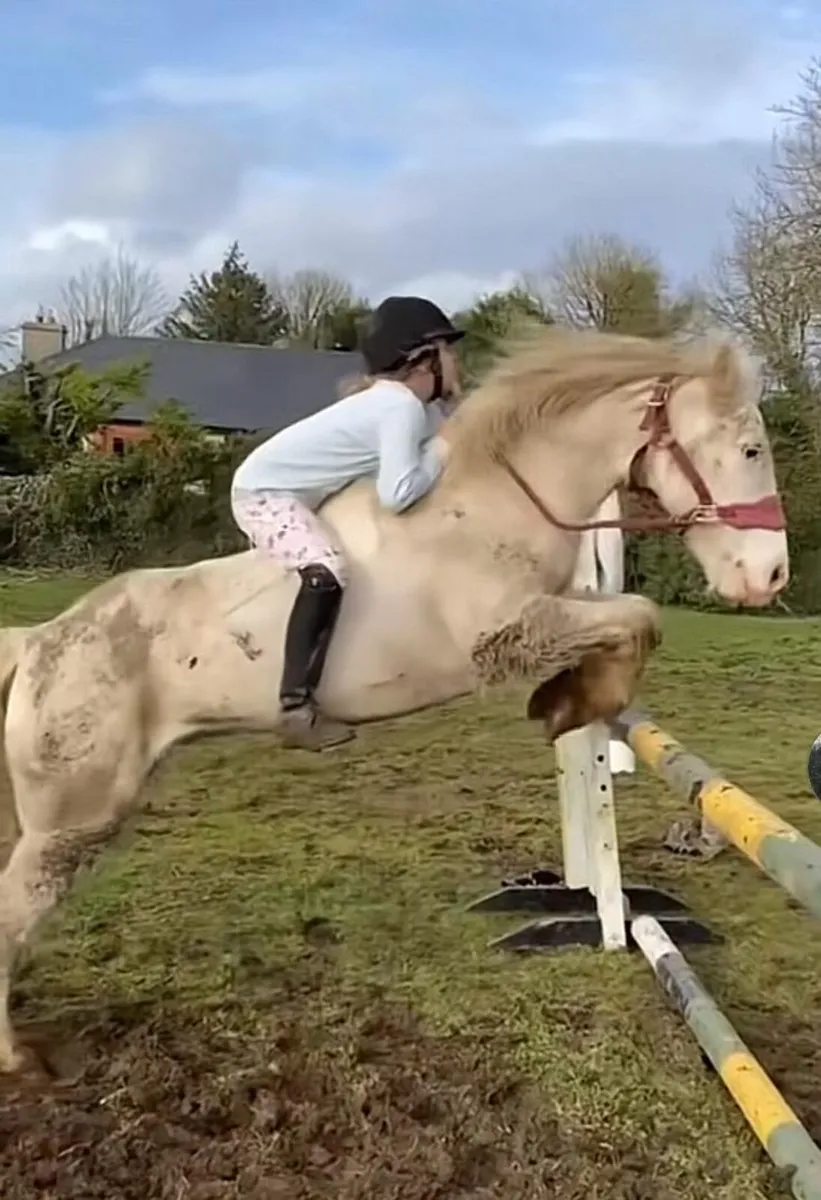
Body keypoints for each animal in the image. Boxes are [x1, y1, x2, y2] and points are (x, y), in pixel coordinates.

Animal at [0, 325, 788, 1072]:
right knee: (13, 917)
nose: (772, 577)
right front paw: (569, 702)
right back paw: (17, 1059)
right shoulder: (505, 632)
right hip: (70, 823)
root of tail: (37, 641)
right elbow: (639, 615)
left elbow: (628, 620)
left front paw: (568, 700)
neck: (500, 497)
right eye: (750, 448)